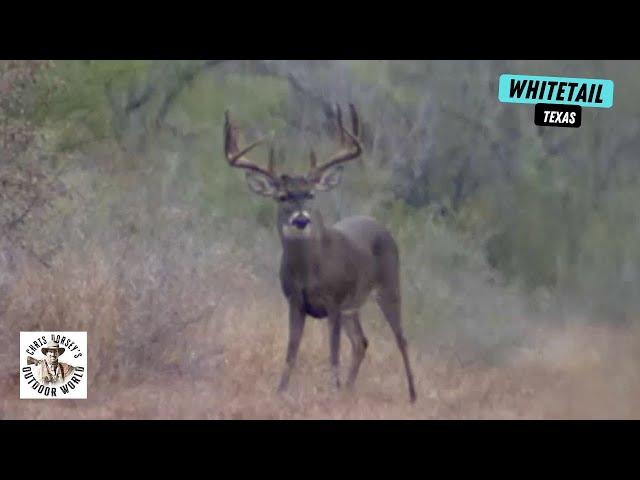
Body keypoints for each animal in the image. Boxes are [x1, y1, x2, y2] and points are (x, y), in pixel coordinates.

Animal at [222, 104, 418, 402]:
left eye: (311, 194)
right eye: (282, 197)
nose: (301, 219)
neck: (308, 273)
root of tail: (380, 226)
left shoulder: (333, 301)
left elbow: (333, 354)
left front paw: (331, 391)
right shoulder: (295, 301)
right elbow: (291, 352)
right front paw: (281, 391)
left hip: (389, 285)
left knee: (401, 339)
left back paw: (412, 395)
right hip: (353, 306)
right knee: (361, 342)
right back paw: (349, 389)